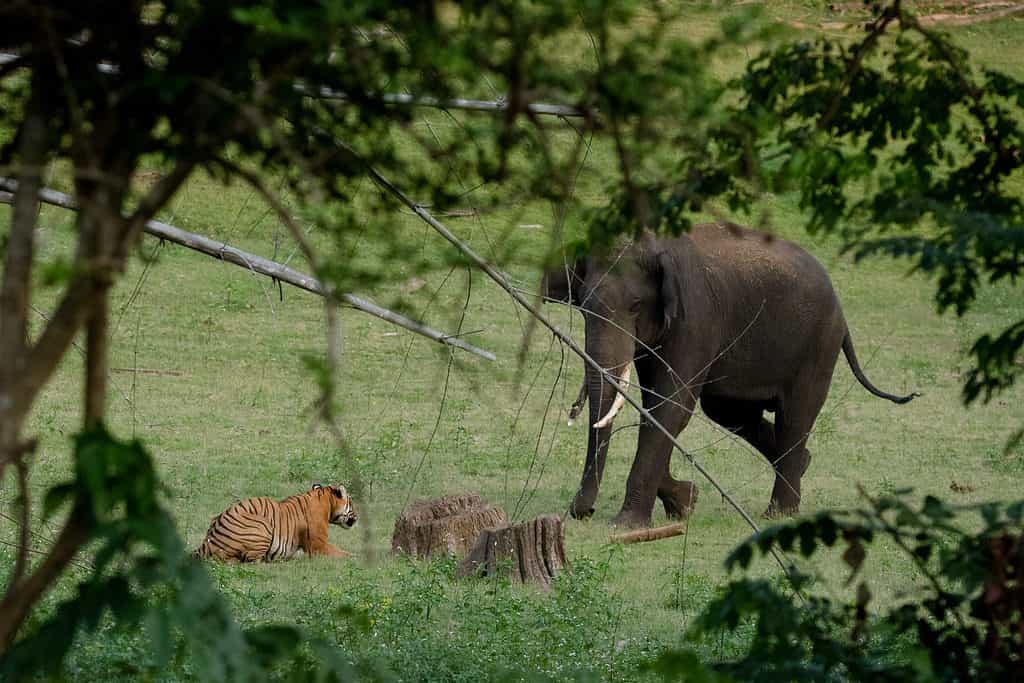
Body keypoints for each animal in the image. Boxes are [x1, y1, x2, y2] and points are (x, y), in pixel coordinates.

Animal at [193, 483, 358, 565]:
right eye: (352, 503)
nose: (357, 516)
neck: (327, 503)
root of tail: (207, 543)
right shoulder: (319, 546)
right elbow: (344, 553)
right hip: (263, 526)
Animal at [540, 223, 917, 528]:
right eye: (583, 306)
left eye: (635, 306)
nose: (582, 512)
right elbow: (658, 409)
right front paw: (685, 502)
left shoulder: (696, 318)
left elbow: (671, 407)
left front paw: (627, 525)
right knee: (730, 412)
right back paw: (803, 464)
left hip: (818, 343)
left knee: (795, 416)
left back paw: (779, 513)